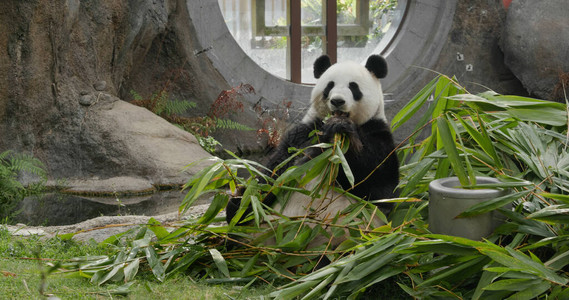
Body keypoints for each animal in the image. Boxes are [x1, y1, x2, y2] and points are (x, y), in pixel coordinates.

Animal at [224, 53, 398, 246]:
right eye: (330, 86)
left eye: (353, 87)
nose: (337, 101)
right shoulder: (302, 133)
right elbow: (277, 169)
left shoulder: (378, 133)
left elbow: (377, 184)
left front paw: (342, 130)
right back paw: (237, 207)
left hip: (347, 237)